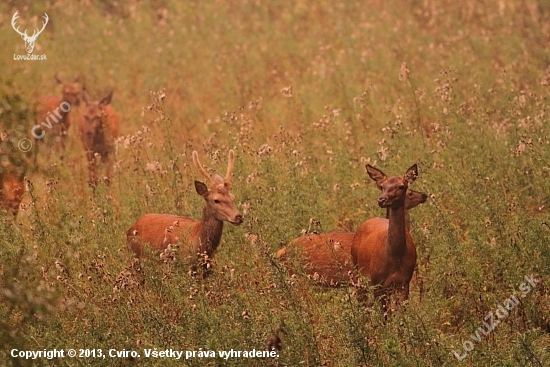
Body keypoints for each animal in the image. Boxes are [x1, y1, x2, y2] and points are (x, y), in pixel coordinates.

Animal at [352, 164, 420, 310]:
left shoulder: (404, 282)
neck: (395, 255)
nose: (381, 200)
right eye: (382, 186)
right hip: (357, 271)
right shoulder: (378, 283)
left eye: (402, 186)